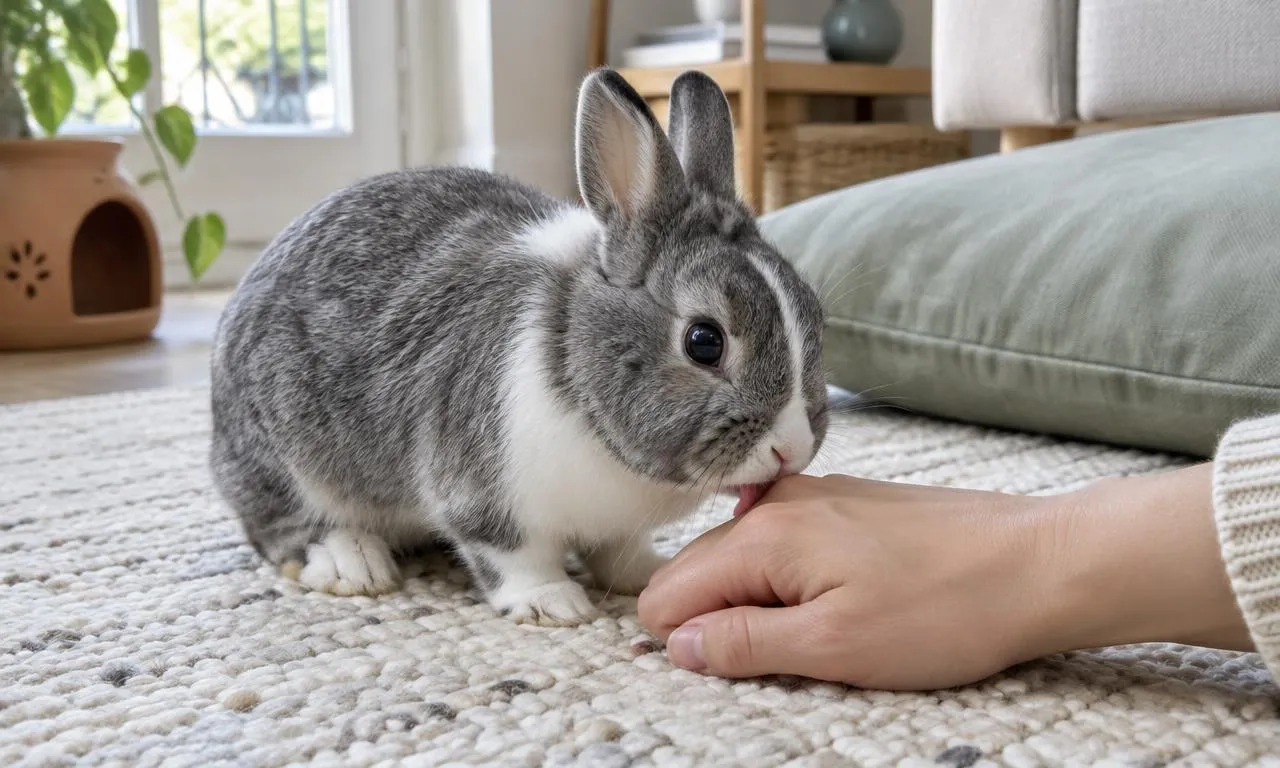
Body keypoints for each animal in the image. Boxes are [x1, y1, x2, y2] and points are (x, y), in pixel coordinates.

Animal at [208, 68, 830, 626]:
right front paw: (554, 605)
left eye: (815, 316)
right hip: (281, 458)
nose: (792, 449)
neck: (571, 360)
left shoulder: (616, 526)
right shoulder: (484, 494)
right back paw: (351, 563)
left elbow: (618, 553)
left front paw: (648, 574)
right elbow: (512, 557)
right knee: (281, 528)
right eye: (704, 341)